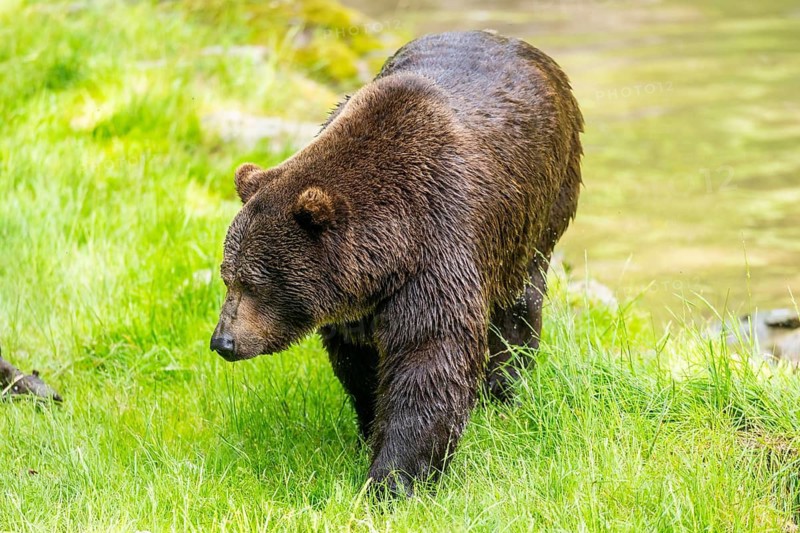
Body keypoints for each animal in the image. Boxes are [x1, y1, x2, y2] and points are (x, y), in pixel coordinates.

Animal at [211, 30, 583, 495]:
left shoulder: (441, 245)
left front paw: (392, 480)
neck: (390, 250)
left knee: (518, 309)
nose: (224, 341)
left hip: (540, 209)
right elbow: (361, 365)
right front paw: (369, 431)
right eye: (228, 277)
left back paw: (502, 393)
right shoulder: (358, 302)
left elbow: (429, 357)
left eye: (255, 284)